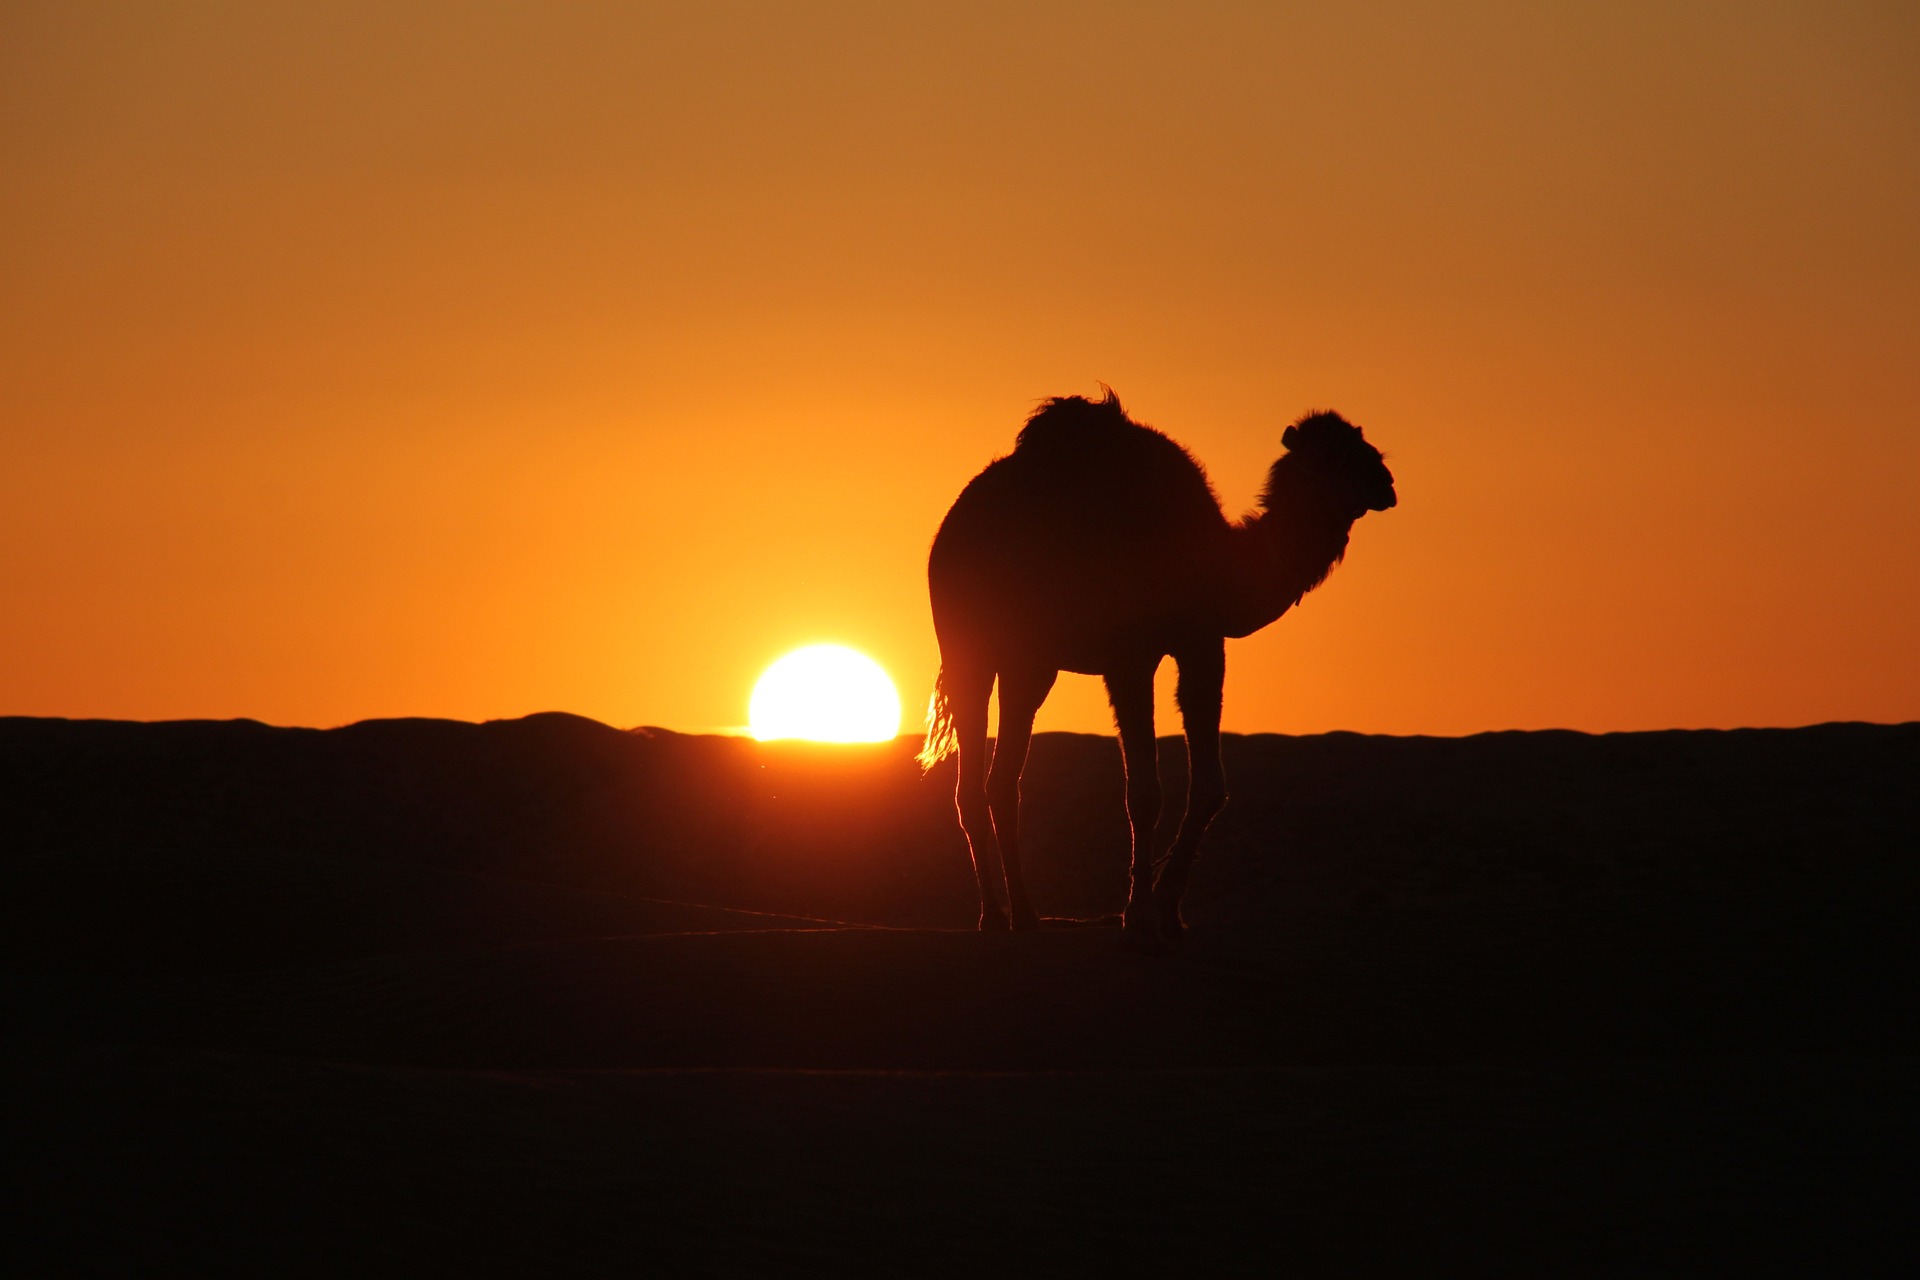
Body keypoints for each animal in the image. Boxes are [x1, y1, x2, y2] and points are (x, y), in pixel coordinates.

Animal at [917, 385, 1397, 936]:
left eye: (1360, 440)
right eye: (1332, 455)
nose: (1385, 482)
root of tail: (950, 530)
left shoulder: (1202, 644)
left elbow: (1210, 787)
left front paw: (1170, 908)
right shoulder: (1129, 658)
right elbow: (1144, 792)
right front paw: (1140, 912)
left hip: (1030, 663)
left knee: (1002, 782)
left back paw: (1025, 913)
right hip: (967, 647)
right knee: (971, 785)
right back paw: (995, 916)